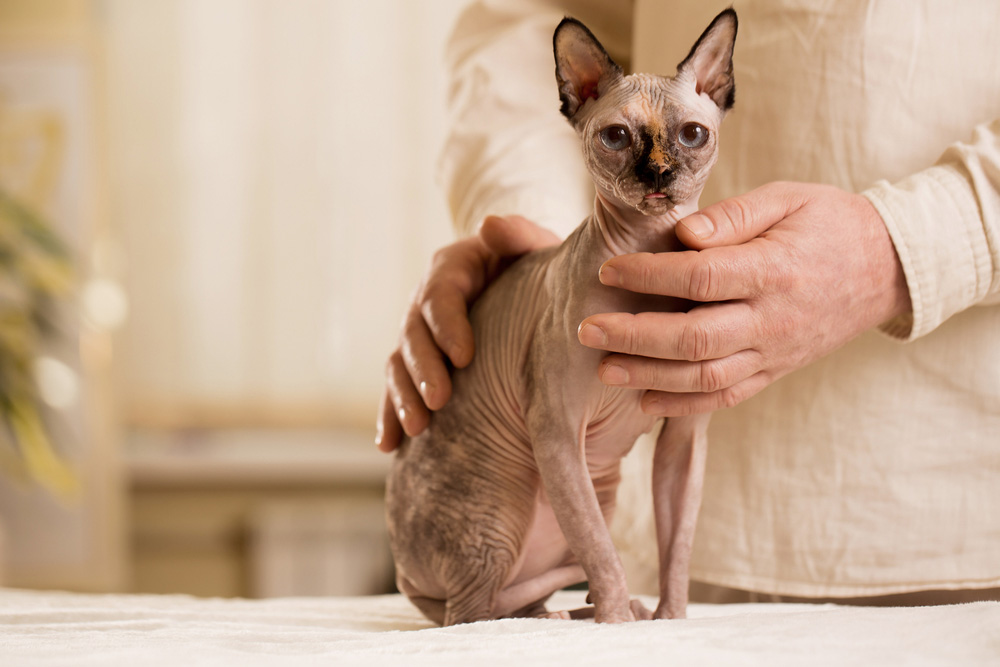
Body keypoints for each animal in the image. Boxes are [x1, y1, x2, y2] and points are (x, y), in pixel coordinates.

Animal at [386, 9, 740, 628]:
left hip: (593, 488)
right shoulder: (555, 432)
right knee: (470, 614)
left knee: (519, 595)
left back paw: (572, 613)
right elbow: (602, 550)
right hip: (502, 504)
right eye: (616, 137)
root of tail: (405, 573)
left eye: (692, 134)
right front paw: (618, 624)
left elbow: (676, 553)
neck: (648, 256)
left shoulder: (683, 438)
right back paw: (563, 617)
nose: (658, 173)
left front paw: (668, 621)